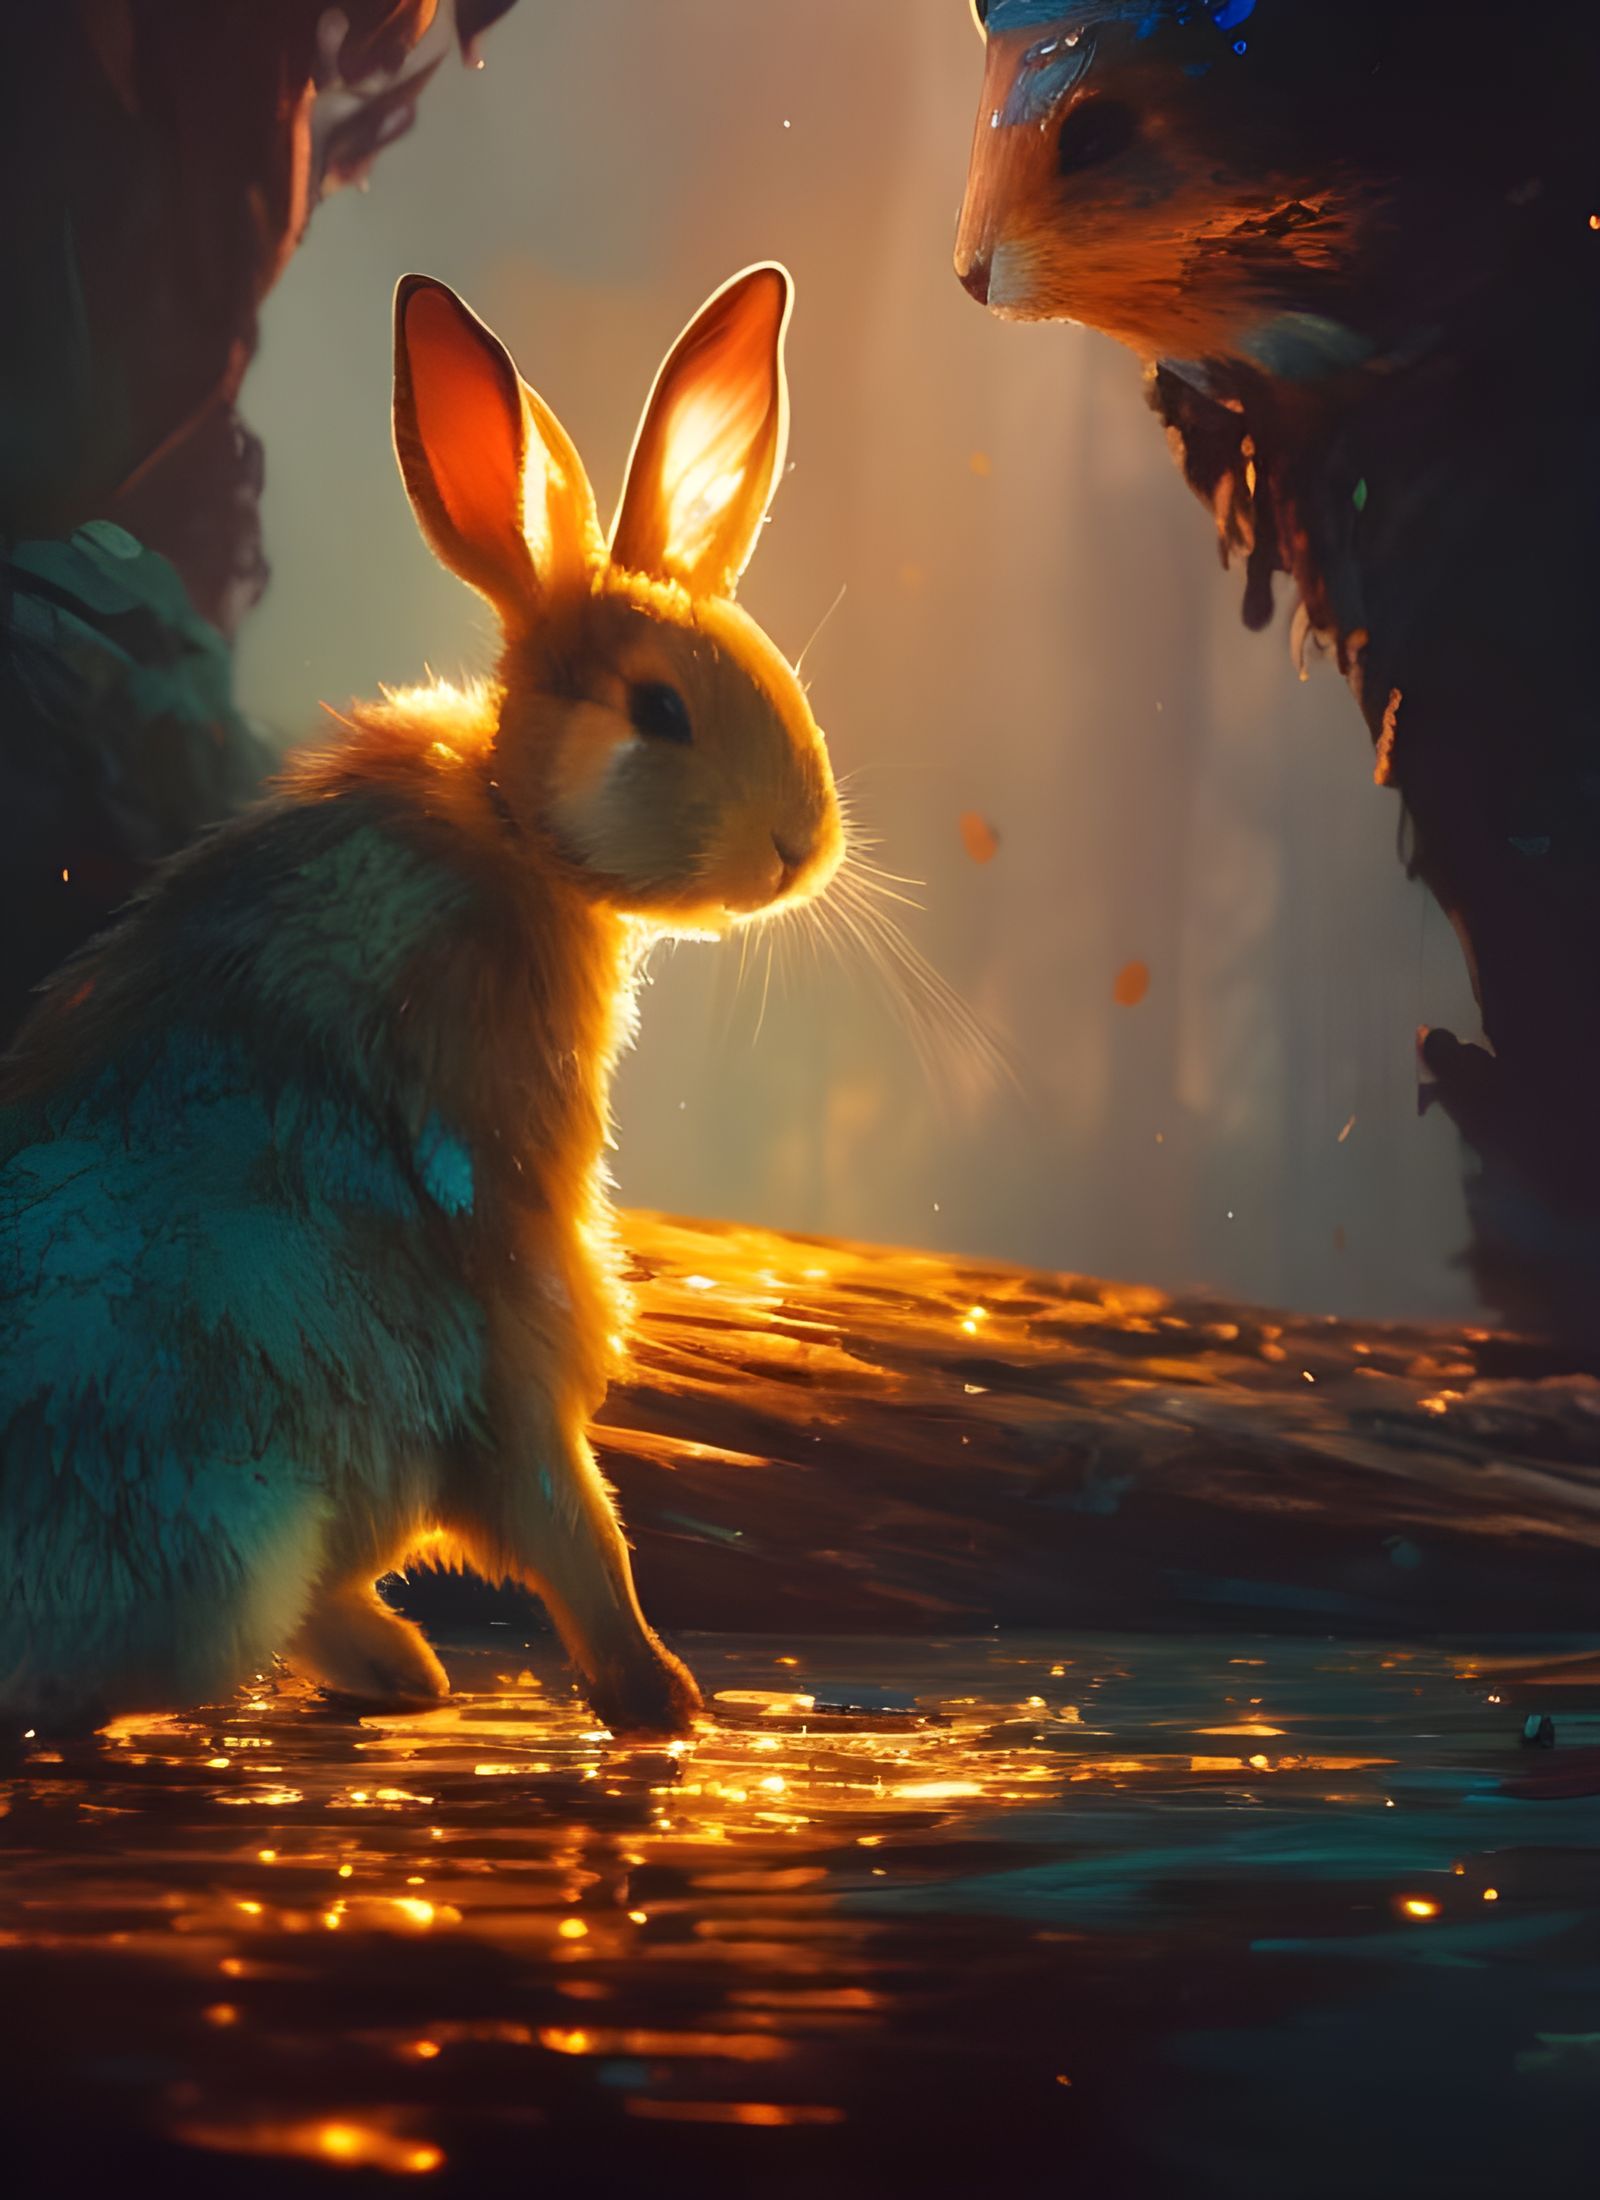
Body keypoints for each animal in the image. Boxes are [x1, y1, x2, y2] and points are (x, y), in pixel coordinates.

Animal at [0, 261, 844, 1741]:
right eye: (659, 710)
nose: (804, 844)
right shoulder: (515, 1301)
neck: (515, 823)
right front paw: (660, 1698)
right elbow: (575, 1526)